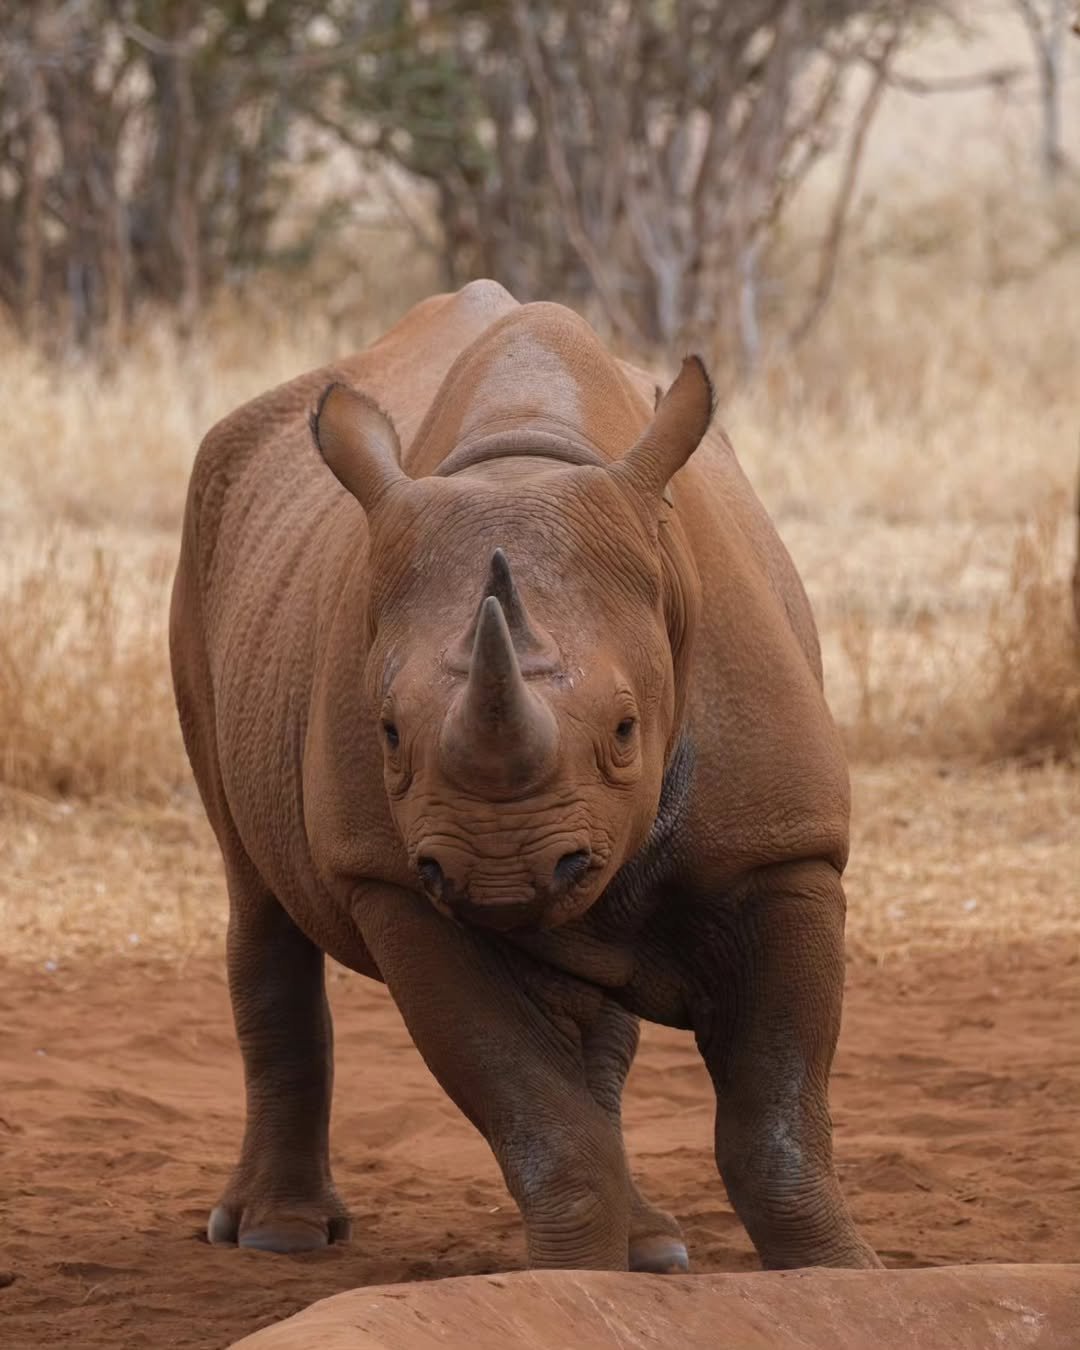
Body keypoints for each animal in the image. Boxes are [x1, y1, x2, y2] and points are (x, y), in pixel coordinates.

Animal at [170, 280, 879, 1273]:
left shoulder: (783, 852)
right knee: (258, 892)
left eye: (625, 730)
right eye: (388, 734)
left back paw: (653, 1251)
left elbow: (776, 1121)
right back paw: (279, 1236)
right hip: (204, 559)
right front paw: (572, 1283)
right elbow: (541, 1125)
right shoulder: (398, 881)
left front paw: (839, 1276)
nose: (502, 874)